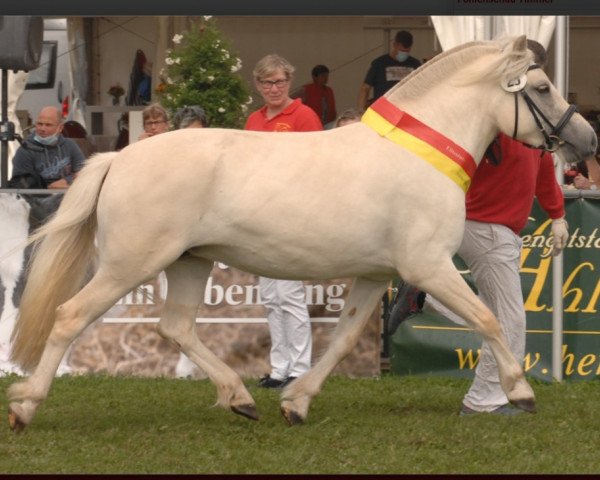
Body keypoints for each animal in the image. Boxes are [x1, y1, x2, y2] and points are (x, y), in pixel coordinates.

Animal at [4, 37, 596, 434]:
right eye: (541, 87)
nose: (586, 139)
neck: (421, 151)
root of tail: (119, 158)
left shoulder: (376, 275)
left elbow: (345, 338)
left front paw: (296, 402)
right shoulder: (427, 267)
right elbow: (488, 319)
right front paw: (521, 392)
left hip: (189, 261)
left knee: (175, 327)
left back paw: (239, 397)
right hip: (130, 265)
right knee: (70, 317)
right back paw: (25, 405)